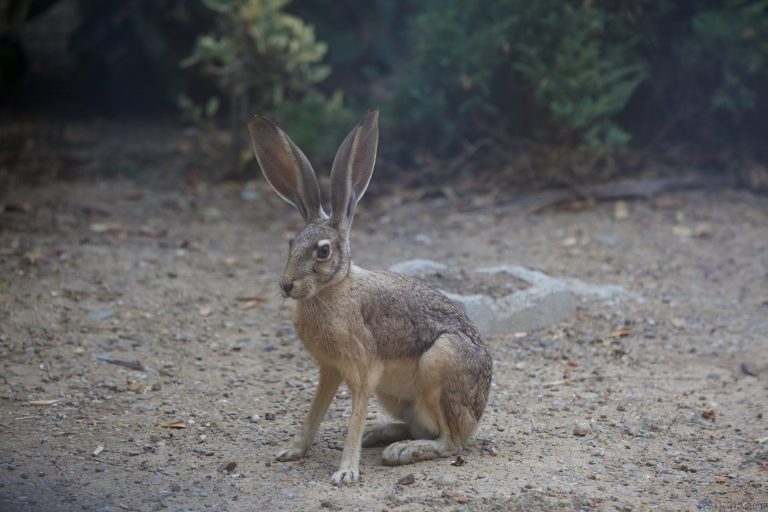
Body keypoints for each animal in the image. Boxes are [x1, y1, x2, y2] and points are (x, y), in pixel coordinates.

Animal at [247, 110, 492, 485]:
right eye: (291, 244)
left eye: (322, 251)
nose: (287, 286)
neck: (333, 290)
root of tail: (477, 415)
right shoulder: (329, 369)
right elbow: (314, 411)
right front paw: (292, 451)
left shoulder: (362, 372)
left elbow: (354, 416)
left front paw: (346, 472)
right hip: (395, 395)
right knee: (419, 427)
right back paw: (380, 435)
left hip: (442, 363)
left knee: (450, 442)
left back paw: (402, 451)